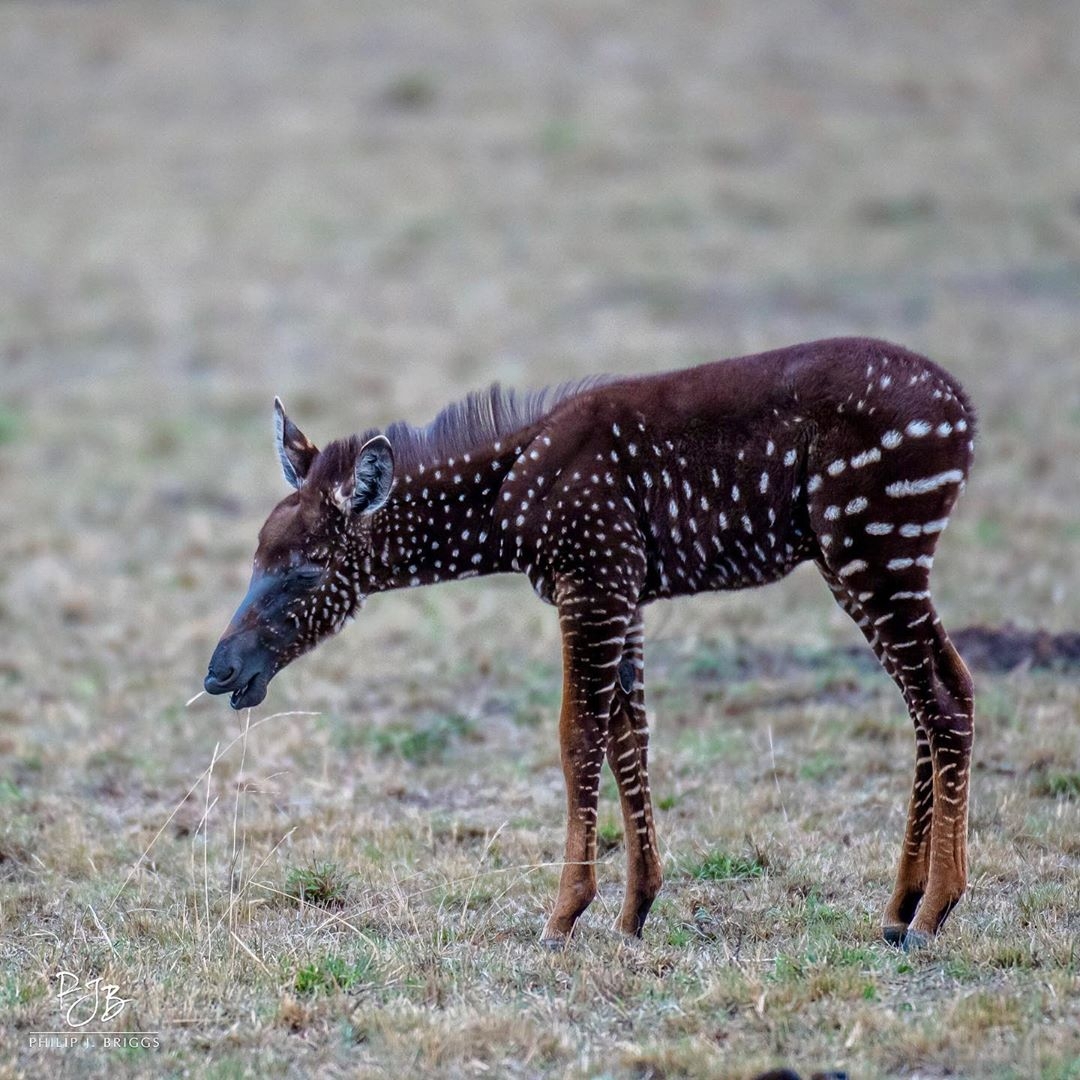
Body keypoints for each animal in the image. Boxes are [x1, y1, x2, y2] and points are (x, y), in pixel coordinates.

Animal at [204, 334, 980, 946]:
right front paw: (635, 911)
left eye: (306, 570)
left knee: (943, 696)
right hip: (856, 557)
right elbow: (628, 735)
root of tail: (965, 416)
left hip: (875, 543)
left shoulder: (594, 578)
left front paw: (563, 915)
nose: (220, 672)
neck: (505, 517)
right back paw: (900, 904)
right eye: (255, 555)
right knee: (938, 693)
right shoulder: (625, 591)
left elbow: (577, 734)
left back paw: (933, 910)